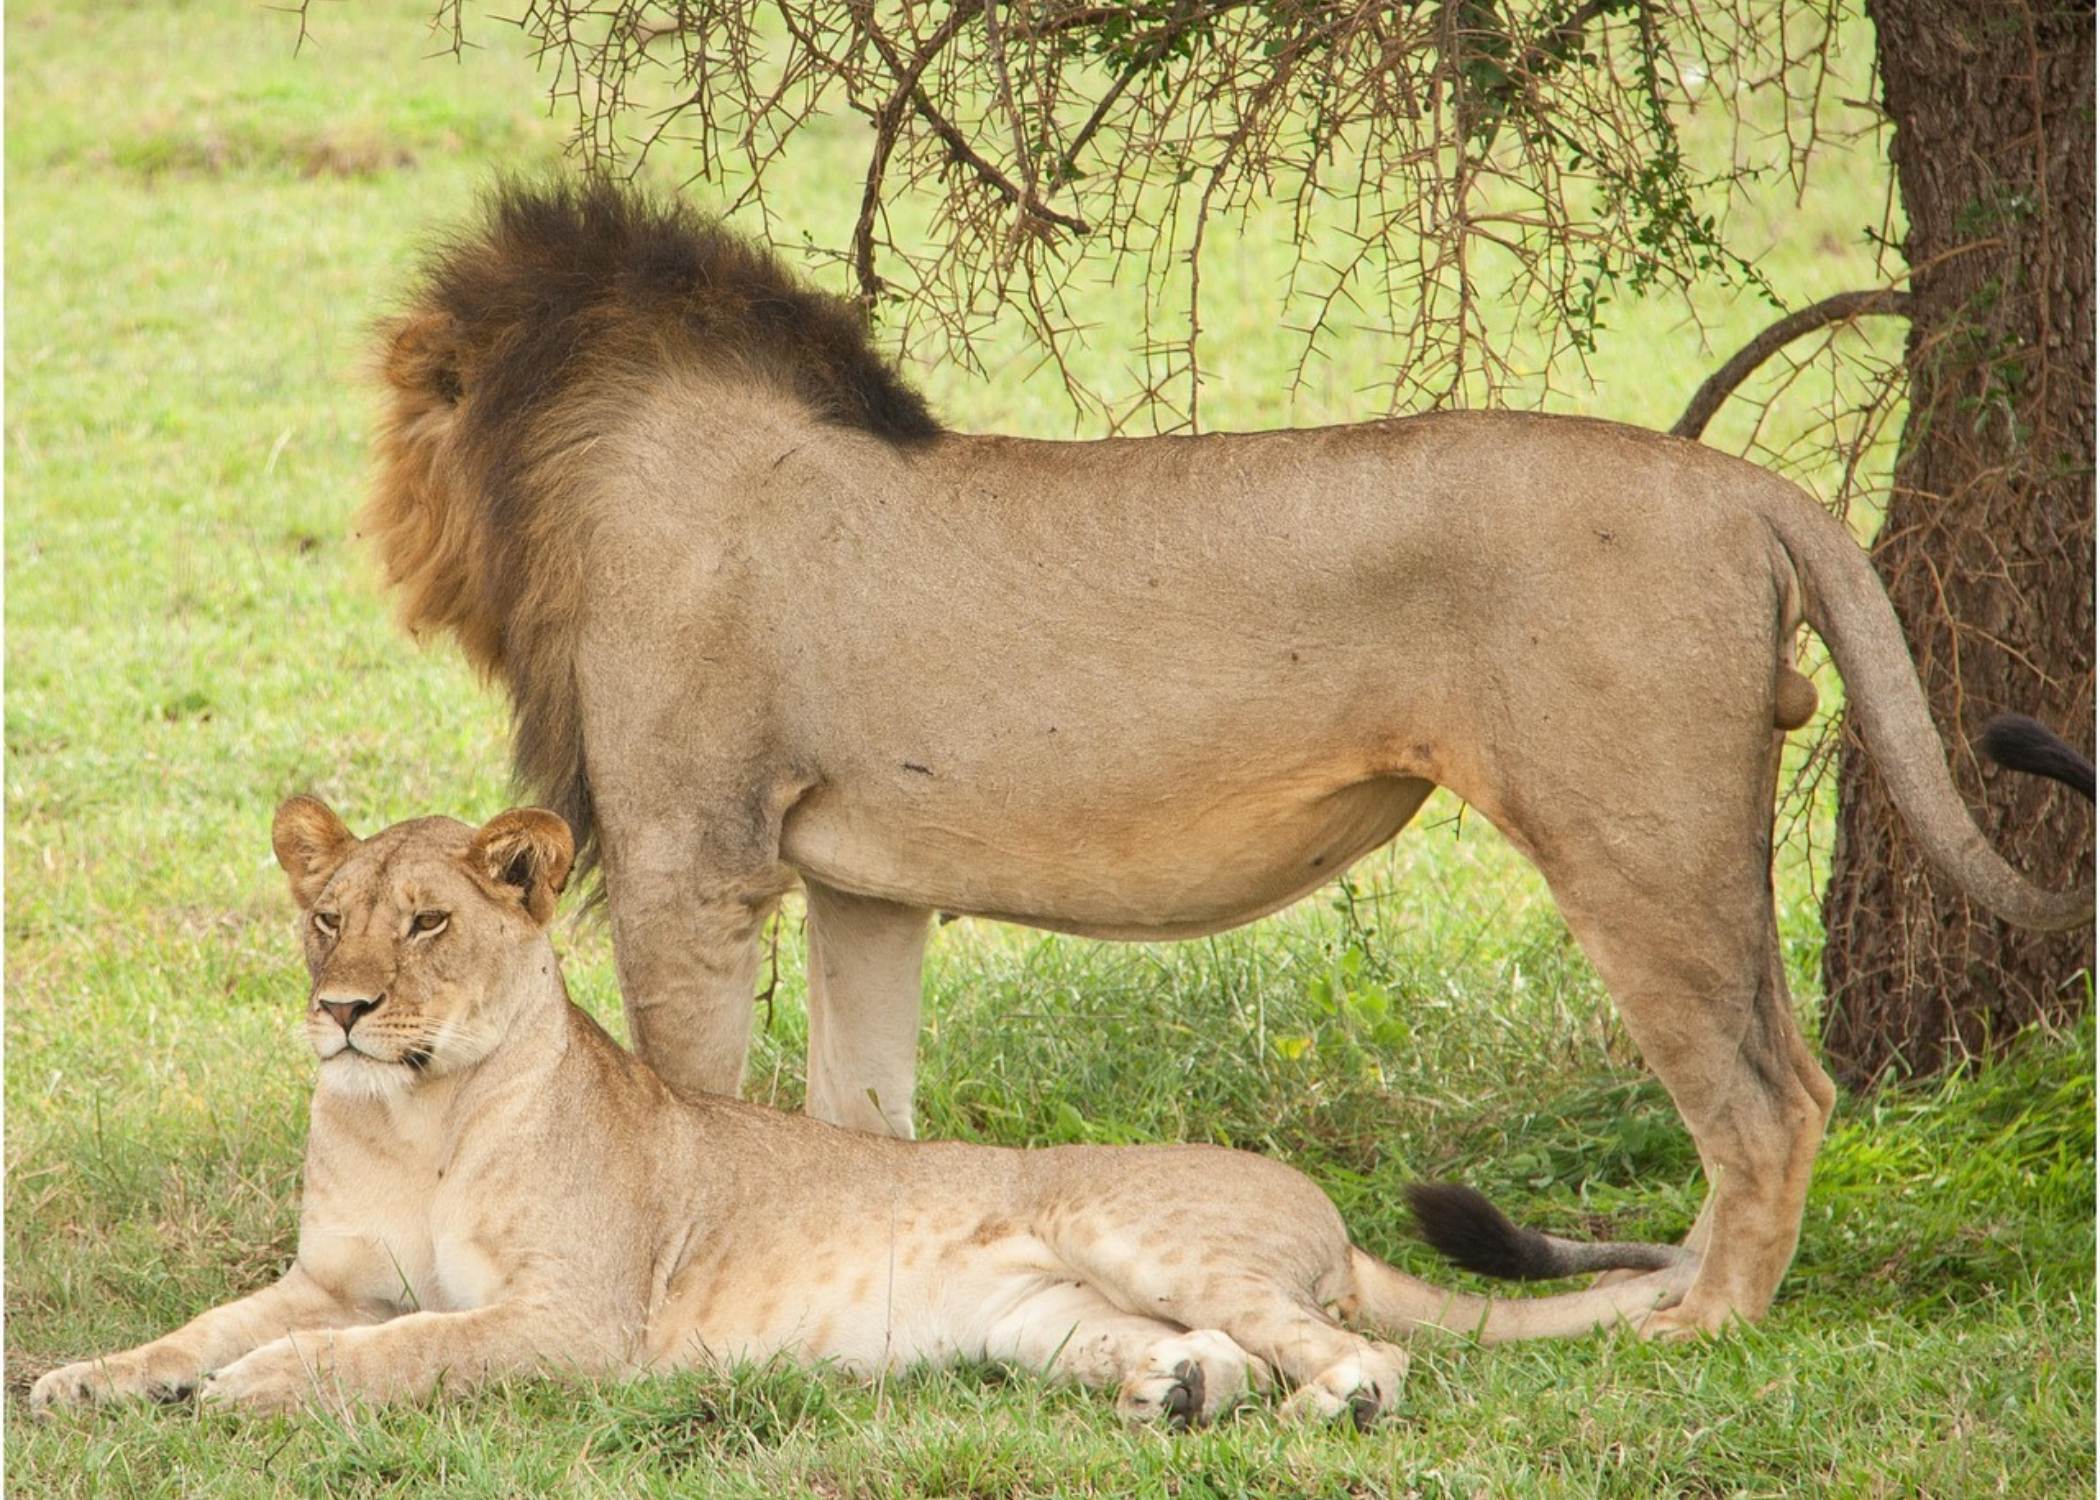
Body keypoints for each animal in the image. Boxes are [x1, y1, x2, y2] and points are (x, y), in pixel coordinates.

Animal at [31, 798, 1695, 1424]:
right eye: (326, 919)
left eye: (428, 923)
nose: (344, 1011)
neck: (414, 1118)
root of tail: (1327, 1215)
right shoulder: (328, 1272)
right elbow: (200, 1326)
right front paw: (84, 1381)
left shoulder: (575, 1322)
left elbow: (396, 1349)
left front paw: (258, 1391)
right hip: (1043, 1319)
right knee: (1203, 1353)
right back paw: (1177, 1397)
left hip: (1136, 1231)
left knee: (1364, 1356)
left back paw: (1318, 1409)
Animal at [361, 179, 2092, 1339]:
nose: (383, 529)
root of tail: (1743, 487)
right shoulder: (863, 888)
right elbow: (861, 1121)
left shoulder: (693, 856)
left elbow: (687, 1097)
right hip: (1690, 840)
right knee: (1784, 1081)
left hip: (1637, 842)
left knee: (1769, 1105)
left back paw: (1701, 1328)